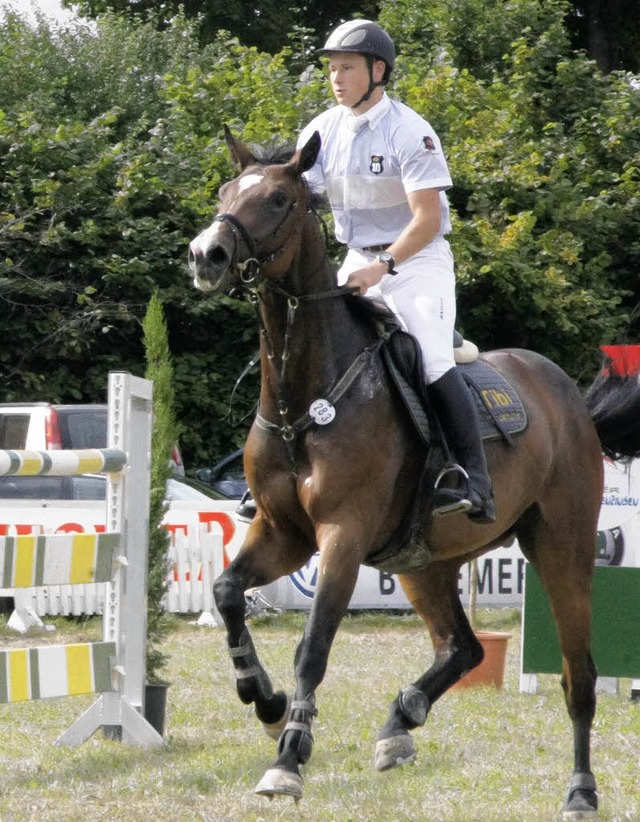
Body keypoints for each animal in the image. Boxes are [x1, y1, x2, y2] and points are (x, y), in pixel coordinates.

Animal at [186, 125, 640, 820]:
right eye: (224, 193)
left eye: (280, 201)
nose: (205, 255)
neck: (302, 397)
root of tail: (569, 399)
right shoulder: (283, 533)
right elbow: (228, 592)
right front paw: (265, 701)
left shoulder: (342, 537)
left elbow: (313, 645)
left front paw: (288, 757)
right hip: (424, 561)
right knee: (464, 646)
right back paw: (401, 721)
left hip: (561, 548)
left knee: (578, 676)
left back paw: (580, 790)